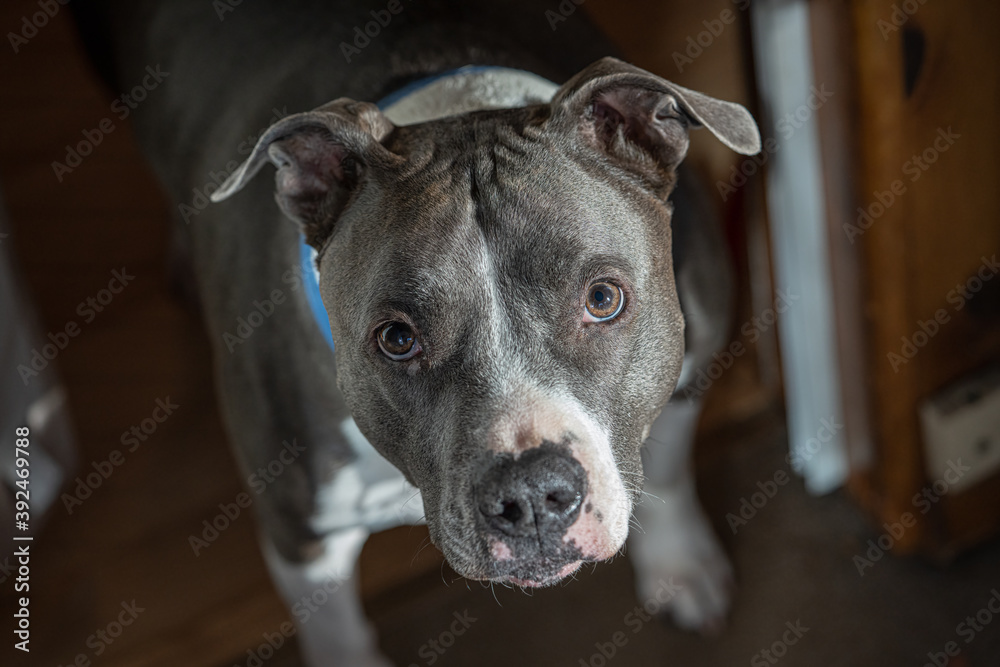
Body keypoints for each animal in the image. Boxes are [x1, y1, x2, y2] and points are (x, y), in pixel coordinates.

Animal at [78, 0, 760, 664]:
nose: (531, 494)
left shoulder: (690, 367)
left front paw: (680, 567)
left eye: (603, 299)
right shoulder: (301, 534)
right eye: (397, 339)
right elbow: (336, 635)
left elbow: (666, 471)